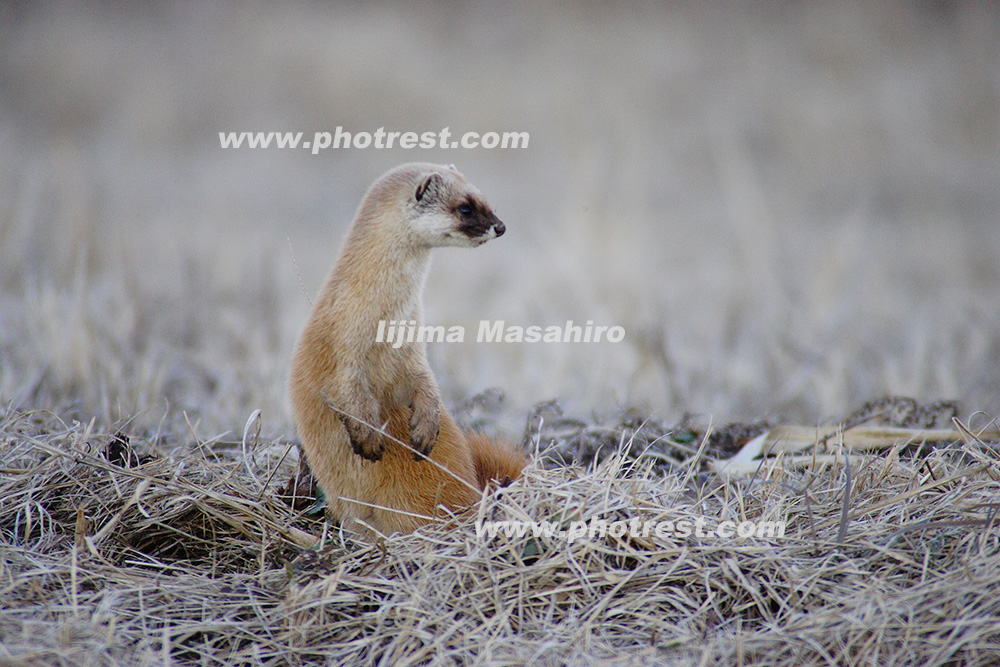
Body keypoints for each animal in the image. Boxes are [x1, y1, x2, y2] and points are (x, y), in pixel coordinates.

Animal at [288, 164, 528, 536]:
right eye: (465, 207)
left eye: (484, 197)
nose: (500, 226)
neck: (388, 322)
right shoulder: (341, 348)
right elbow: (346, 392)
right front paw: (369, 437)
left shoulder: (413, 351)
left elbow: (426, 386)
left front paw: (426, 430)